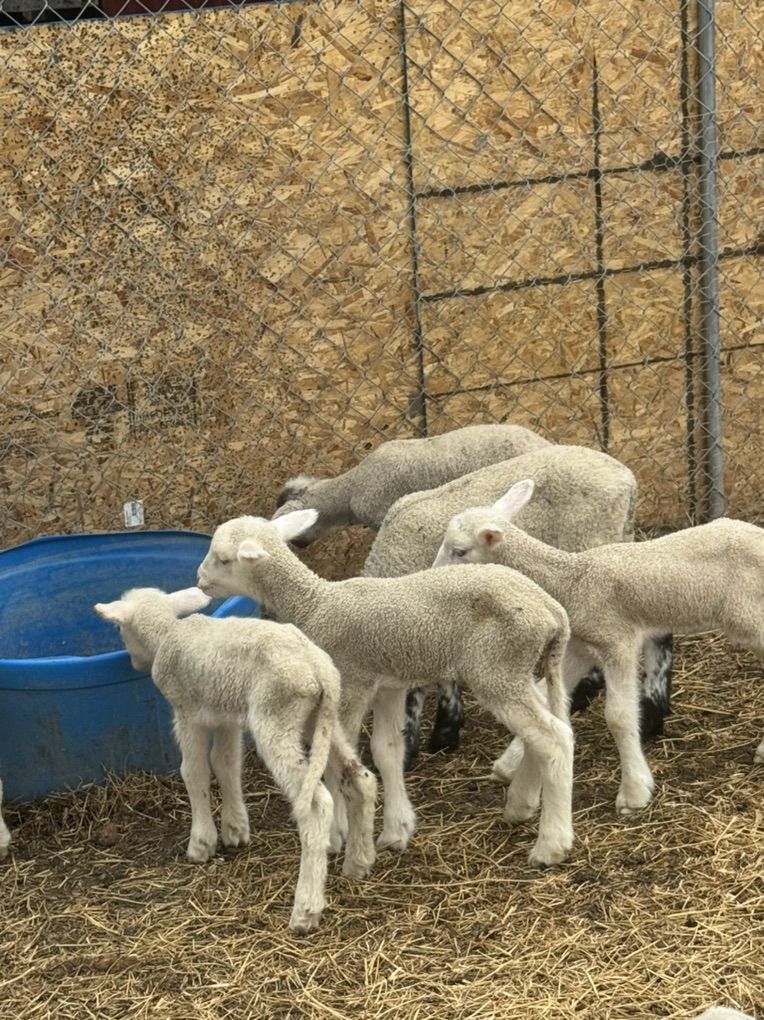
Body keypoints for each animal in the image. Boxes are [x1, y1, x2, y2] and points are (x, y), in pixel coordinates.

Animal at [94, 586, 377, 933]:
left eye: (119, 629)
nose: (133, 664)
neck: (167, 633)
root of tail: (319, 672)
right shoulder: (224, 715)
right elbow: (225, 764)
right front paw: (235, 830)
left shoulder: (187, 713)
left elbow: (194, 771)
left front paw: (201, 843)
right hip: (322, 719)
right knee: (361, 778)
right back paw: (359, 862)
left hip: (276, 718)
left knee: (315, 804)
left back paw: (306, 910)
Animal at [198, 509, 576, 868]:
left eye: (223, 559)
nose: (199, 580)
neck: (314, 604)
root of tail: (552, 609)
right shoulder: (387, 686)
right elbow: (387, 751)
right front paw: (397, 830)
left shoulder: (350, 685)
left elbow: (337, 762)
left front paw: (337, 834)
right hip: (517, 671)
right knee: (549, 730)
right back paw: (522, 804)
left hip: (498, 668)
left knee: (553, 738)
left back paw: (551, 845)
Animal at [362, 444, 674, 766]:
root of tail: (626, 478)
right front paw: (448, 725)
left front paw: (437, 734)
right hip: (622, 534)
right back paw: (653, 713)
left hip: (591, 537)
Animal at [433, 479, 764, 813]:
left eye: (459, 551)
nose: (432, 575)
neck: (572, 580)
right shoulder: (579, 647)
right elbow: (545, 696)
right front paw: (508, 765)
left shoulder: (617, 641)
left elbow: (619, 715)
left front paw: (633, 792)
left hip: (748, 616)